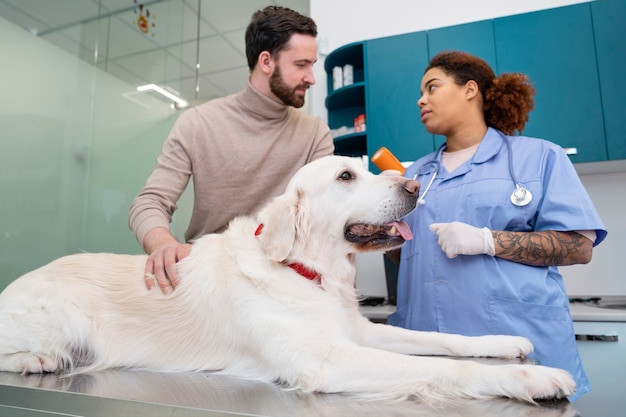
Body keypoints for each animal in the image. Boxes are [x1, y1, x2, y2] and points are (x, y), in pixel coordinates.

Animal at [0, 156, 572, 404]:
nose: (413, 185)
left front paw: (507, 342)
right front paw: (536, 379)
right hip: (58, 312)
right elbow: (435, 366)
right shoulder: (325, 358)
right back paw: (37, 360)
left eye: (367, 167)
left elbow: (441, 341)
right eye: (346, 176)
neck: (309, 272)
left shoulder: (357, 331)